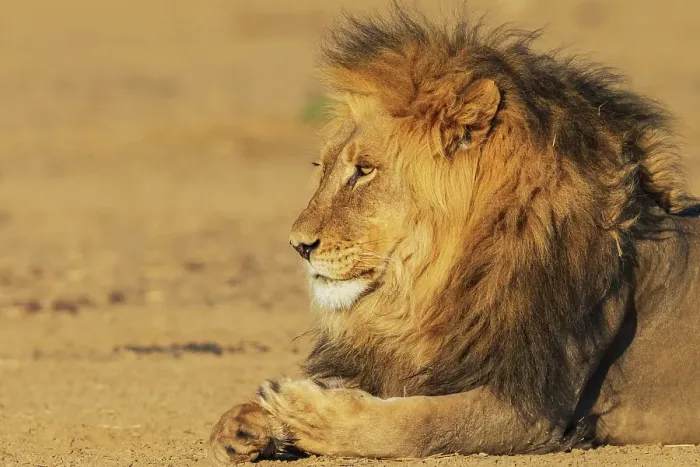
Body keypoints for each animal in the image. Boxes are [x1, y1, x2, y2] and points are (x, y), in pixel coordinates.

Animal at [209, 5, 700, 464]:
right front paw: (244, 422)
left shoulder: (533, 408)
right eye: (322, 167)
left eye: (364, 170)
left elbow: (416, 423)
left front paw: (307, 410)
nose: (299, 245)